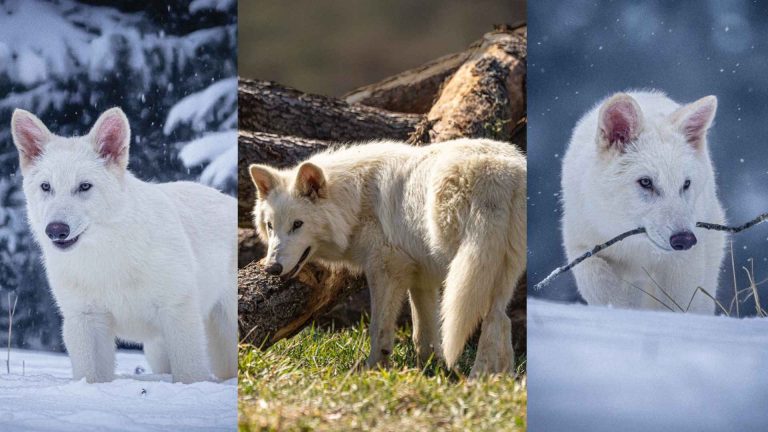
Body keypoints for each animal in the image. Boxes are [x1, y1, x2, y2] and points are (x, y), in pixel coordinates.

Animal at [10, 107, 237, 383]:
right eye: (46, 187)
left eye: (84, 186)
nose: (56, 230)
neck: (107, 257)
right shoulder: (85, 319)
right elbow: (91, 377)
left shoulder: (177, 310)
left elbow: (189, 373)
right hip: (159, 350)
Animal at [248, 138, 526, 375]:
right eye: (271, 226)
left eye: (297, 224)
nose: (272, 268)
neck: (355, 201)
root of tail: (500, 175)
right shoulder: (421, 279)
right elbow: (423, 335)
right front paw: (430, 371)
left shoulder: (386, 271)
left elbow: (379, 328)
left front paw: (374, 369)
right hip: (494, 275)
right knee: (500, 321)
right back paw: (495, 380)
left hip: (463, 271)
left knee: (492, 321)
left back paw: (478, 379)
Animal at [561, 90, 726, 313]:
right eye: (646, 182)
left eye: (685, 184)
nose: (684, 239)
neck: (637, 246)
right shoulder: (583, 247)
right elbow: (601, 286)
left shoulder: (683, 262)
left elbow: (677, 305)